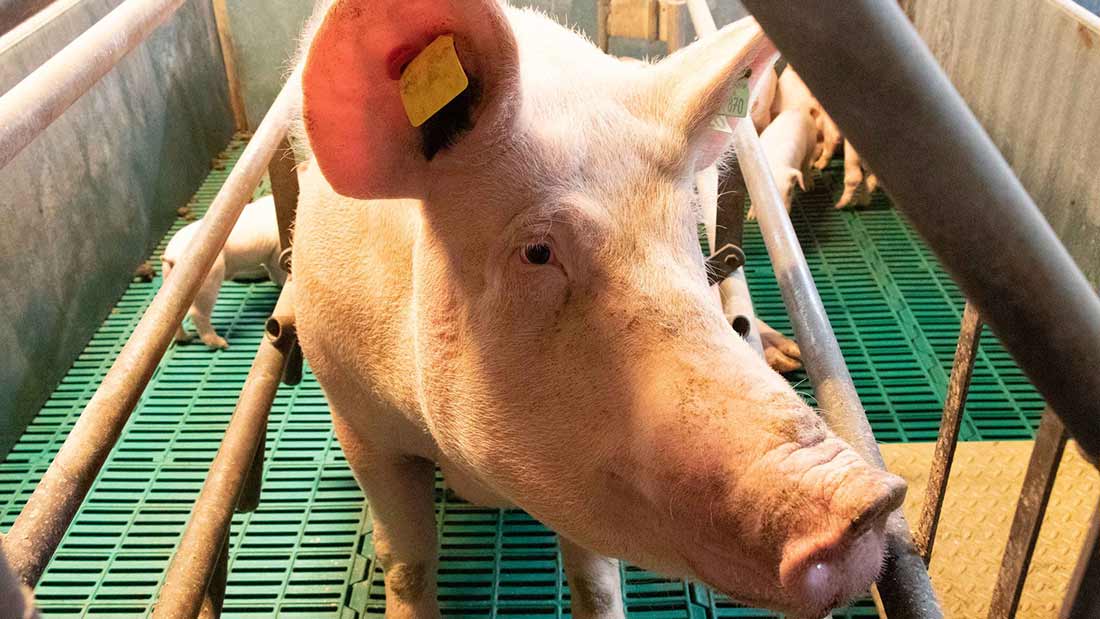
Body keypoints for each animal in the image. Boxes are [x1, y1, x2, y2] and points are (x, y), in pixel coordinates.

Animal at [162, 195, 286, 349]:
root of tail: (171, 255)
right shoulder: (275, 252)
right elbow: (277, 272)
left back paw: (186, 338)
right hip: (209, 281)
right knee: (197, 314)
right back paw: (221, 343)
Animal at [291, 2, 908, 618]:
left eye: (686, 232)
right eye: (537, 252)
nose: (870, 498)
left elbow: (594, 578)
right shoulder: (356, 417)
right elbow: (407, 562)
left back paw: (785, 354)